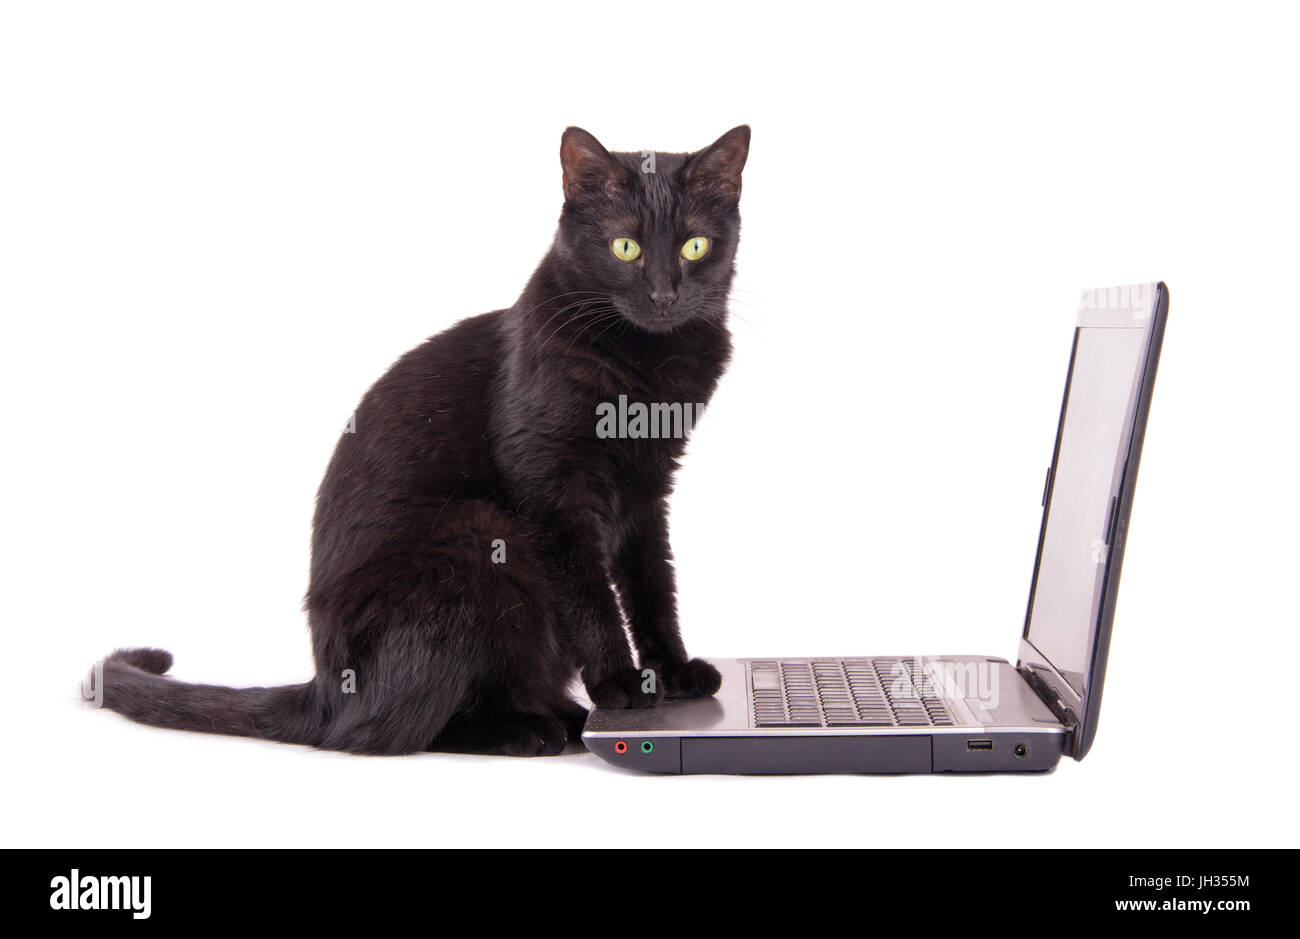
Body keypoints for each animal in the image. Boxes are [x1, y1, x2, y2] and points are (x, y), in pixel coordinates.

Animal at [96, 124, 754, 754]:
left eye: (695, 246)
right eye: (626, 247)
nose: (665, 294)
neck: (650, 368)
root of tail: (324, 690)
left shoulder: (647, 488)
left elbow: (652, 584)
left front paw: (673, 672)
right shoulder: (552, 487)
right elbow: (591, 592)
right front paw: (620, 683)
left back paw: (560, 718)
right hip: (476, 531)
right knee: (385, 730)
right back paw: (530, 731)